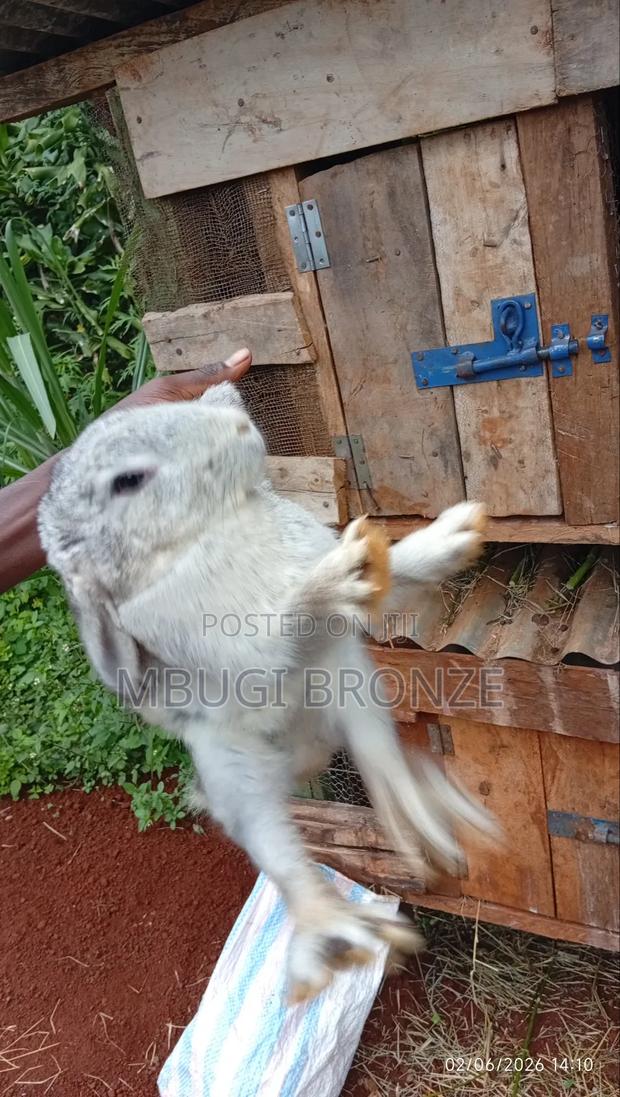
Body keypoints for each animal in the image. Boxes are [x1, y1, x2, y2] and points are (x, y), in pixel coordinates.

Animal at [38, 380, 495, 1002]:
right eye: (127, 480)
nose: (234, 416)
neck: (216, 527)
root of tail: (303, 753)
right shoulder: (240, 643)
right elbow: (280, 628)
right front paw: (337, 578)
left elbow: (397, 567)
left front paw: (453, 535)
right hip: (236, 771)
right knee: (283, 859)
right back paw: (339, 942)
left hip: (349, 684)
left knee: (382, 761)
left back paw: (424, 823)